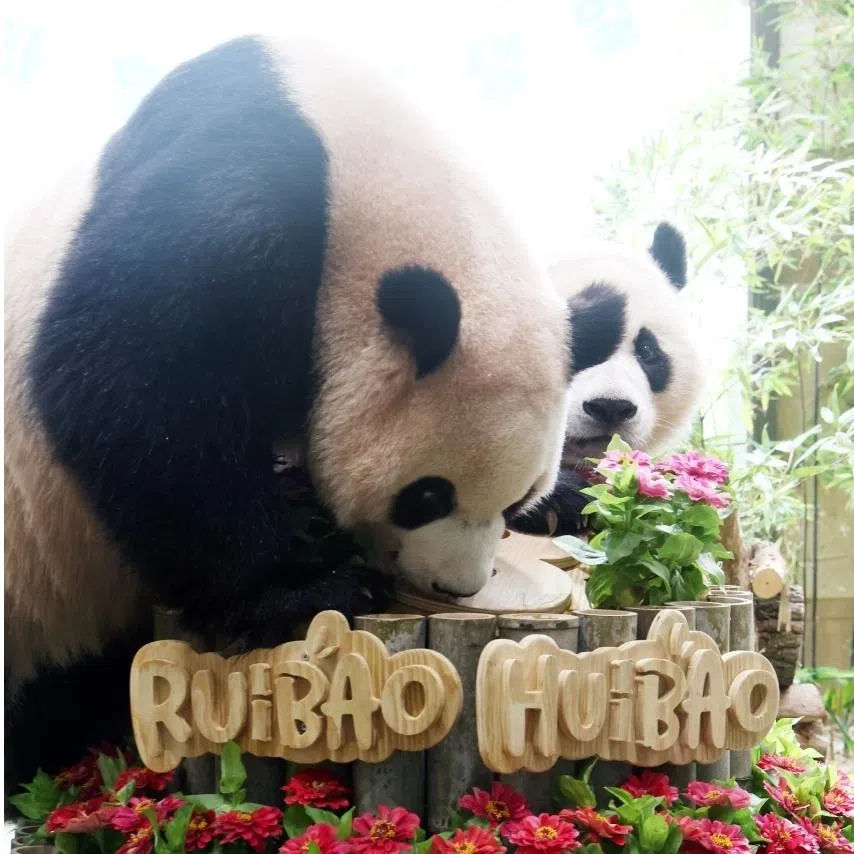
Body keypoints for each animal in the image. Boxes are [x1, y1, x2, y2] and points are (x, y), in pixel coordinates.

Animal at [4, 34, 572, 794]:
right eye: (427, 495)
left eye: (515, 502)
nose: (454, 587)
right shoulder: (248, 190)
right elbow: (127, 385)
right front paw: (303, 589)